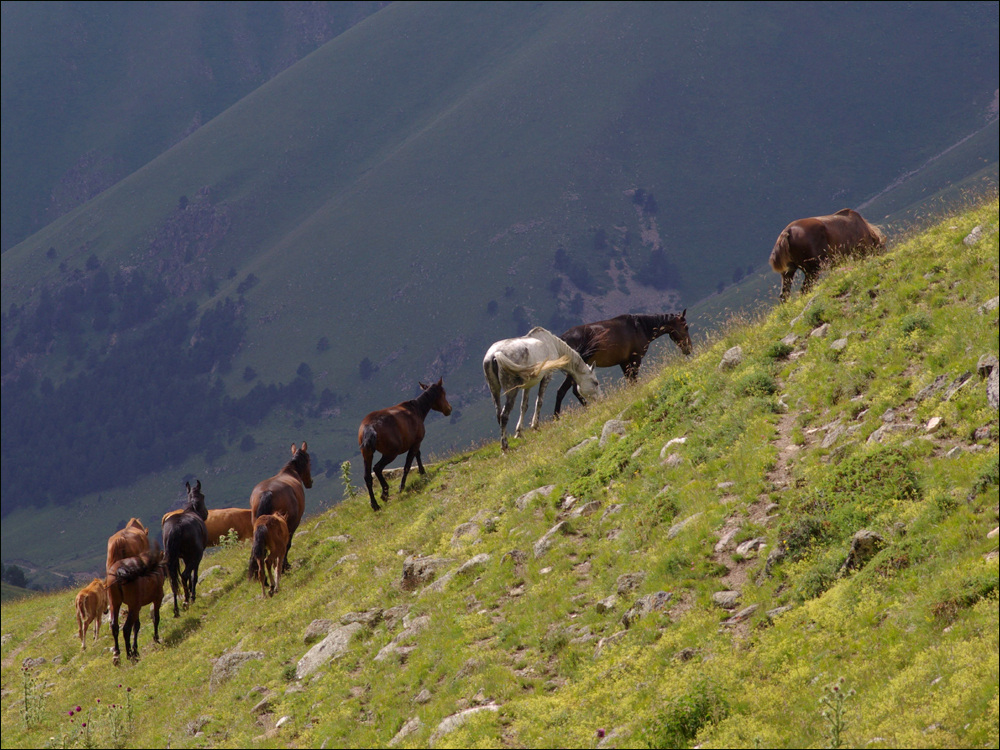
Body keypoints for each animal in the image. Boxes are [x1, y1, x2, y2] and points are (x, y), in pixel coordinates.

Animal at [162, 484, 209, 620]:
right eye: (203, 495)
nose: (206, 513)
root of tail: (176, 527)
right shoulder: (195, 557)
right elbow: (194, 576)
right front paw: (192, 595)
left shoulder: (185, 557)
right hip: (196, 556)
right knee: (184, 575)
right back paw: (187, 600)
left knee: (174, 582)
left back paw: (176, 610)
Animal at [358, 378, 452, 516]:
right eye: (443, 393)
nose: (449, 409)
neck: (415, 409)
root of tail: (369, 427)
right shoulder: (416, 442)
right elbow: (408, 465)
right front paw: (402, 487)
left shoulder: (414, 442)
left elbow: (417, 455)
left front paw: (422, 471)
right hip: (391, 453)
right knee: (377, 468)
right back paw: (385, 493)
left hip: (367, 454)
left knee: (367, 477)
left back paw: (375, 505)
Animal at [552, 312, 692, 418]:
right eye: (686, 327)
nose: (688, 349)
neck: (640, 327)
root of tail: (561, 339)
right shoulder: (635, 359)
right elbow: (634, 379)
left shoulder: (623, 362)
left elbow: (629, 380)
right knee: (563, 391)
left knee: (573, 391)